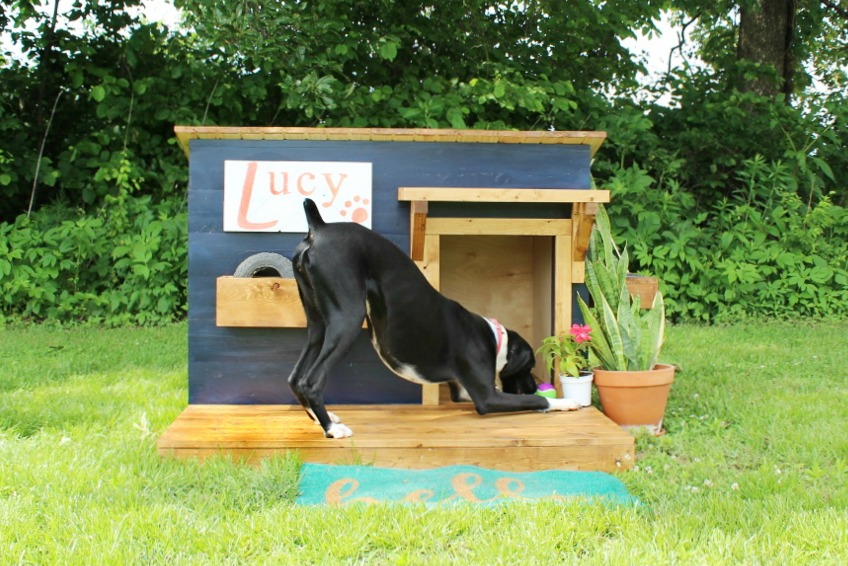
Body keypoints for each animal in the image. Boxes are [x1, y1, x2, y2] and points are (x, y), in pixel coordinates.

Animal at [288, 200, 580, 440]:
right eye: (529, 365)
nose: (534, 385)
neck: (493, 338)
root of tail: (319, 227)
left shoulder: (462, 391)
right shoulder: (487, 397)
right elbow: (536, 402)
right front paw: (563, 403)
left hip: (318, 326)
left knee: (295, 377)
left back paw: (322, 419)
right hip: (347, 319)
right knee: (310, 381)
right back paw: (331, 428)